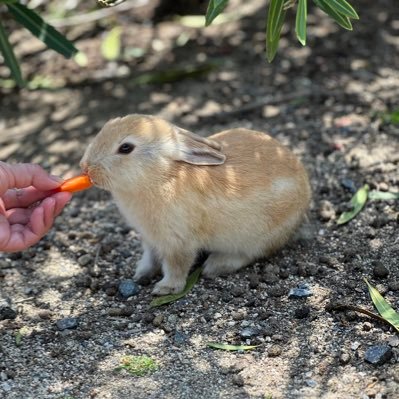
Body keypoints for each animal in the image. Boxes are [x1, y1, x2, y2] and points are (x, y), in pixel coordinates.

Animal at [80, 114, 312, 296]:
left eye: (126, 148)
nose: (86, 167)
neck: (163, 175)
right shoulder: (150, 238)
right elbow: (150, 257)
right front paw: (140, 274)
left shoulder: (178, 241)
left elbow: (176, 266)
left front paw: (165, 288)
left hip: (258, 236)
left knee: (248, 254)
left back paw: (215, 266)